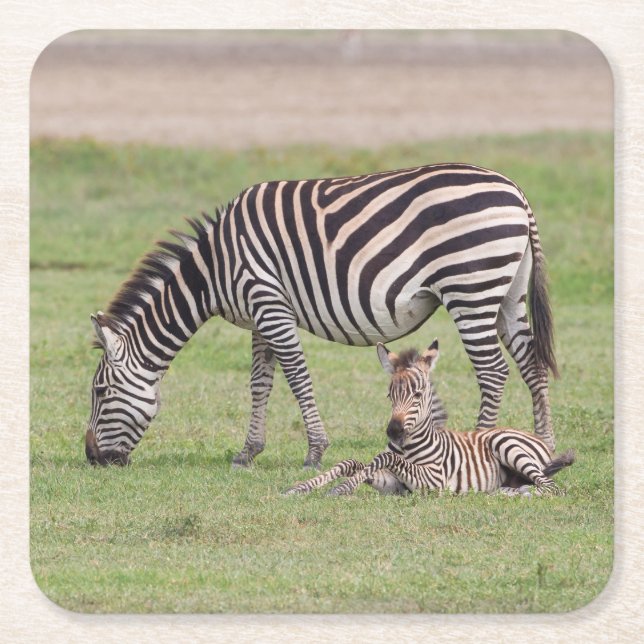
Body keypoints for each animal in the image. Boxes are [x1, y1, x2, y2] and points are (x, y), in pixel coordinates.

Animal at [85, 162, 558, 468]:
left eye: (100, 392)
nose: (91, 457)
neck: (214, 269)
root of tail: (516, 192)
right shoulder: (260, 318)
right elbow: (260, 384)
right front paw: (248, 452)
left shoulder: (269, 303)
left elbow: (296, 377)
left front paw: (314, 451)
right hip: (506, 294)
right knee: (531, 366)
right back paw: (545, 445)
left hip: (470, 289)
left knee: (493, 371)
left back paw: (483, 445)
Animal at [284, 340, 574, 497]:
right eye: (389, 395)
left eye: (418, 394)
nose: (394, 432)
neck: (410, 447)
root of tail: (536, 438)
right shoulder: (394, 485)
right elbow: (353, 462)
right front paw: (303, 487)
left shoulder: (433, 481)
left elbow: (384, 457)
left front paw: (341, 488)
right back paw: (504, 490)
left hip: (507, 446)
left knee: (551, 487)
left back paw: (515, 494)